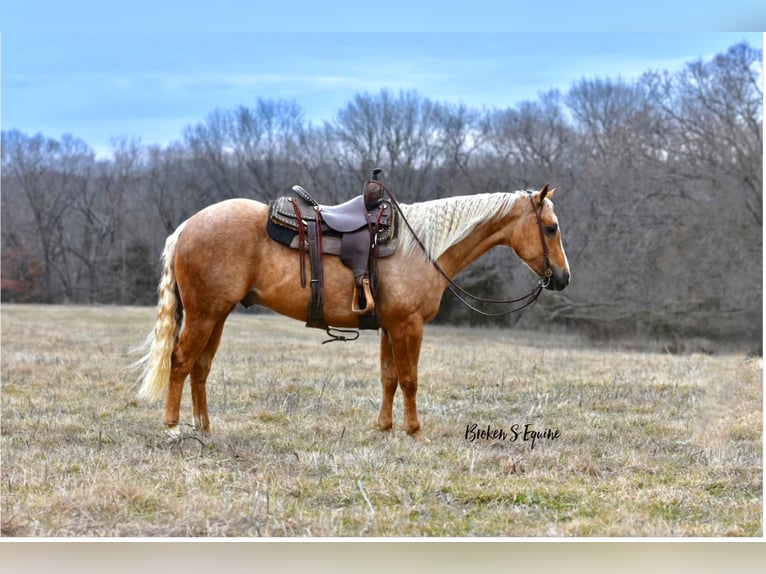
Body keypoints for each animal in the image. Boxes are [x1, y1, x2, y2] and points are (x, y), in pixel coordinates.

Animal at [136, 182, 568, 444]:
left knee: (200, 368)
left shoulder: (390, 327)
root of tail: (187, 227)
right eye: (550, 228)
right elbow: (410, 380)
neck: (421, 247)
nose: (563, 278)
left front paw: (385, 428)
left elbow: (389, 378)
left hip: (217, 315)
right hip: (204, 314)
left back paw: (204, 428)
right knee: (180, 362)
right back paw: (173, 429)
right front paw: (414, 432)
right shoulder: (408, 326)